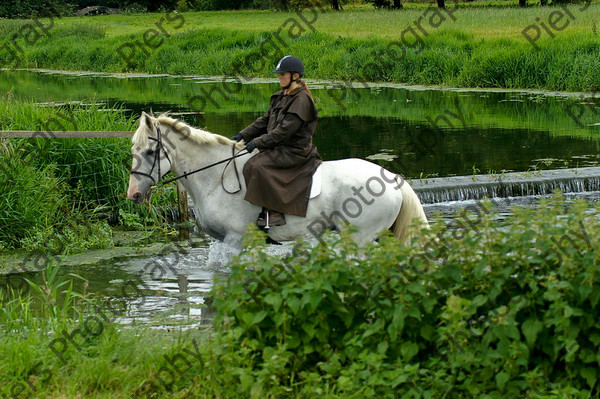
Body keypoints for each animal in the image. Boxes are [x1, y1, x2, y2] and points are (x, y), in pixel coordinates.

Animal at [126, 112, 428, 248]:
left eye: (151, 151)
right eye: (133, 150)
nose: (134, 195)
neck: (213, 178)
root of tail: (393, 179)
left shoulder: (235, 239)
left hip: (360, 238)